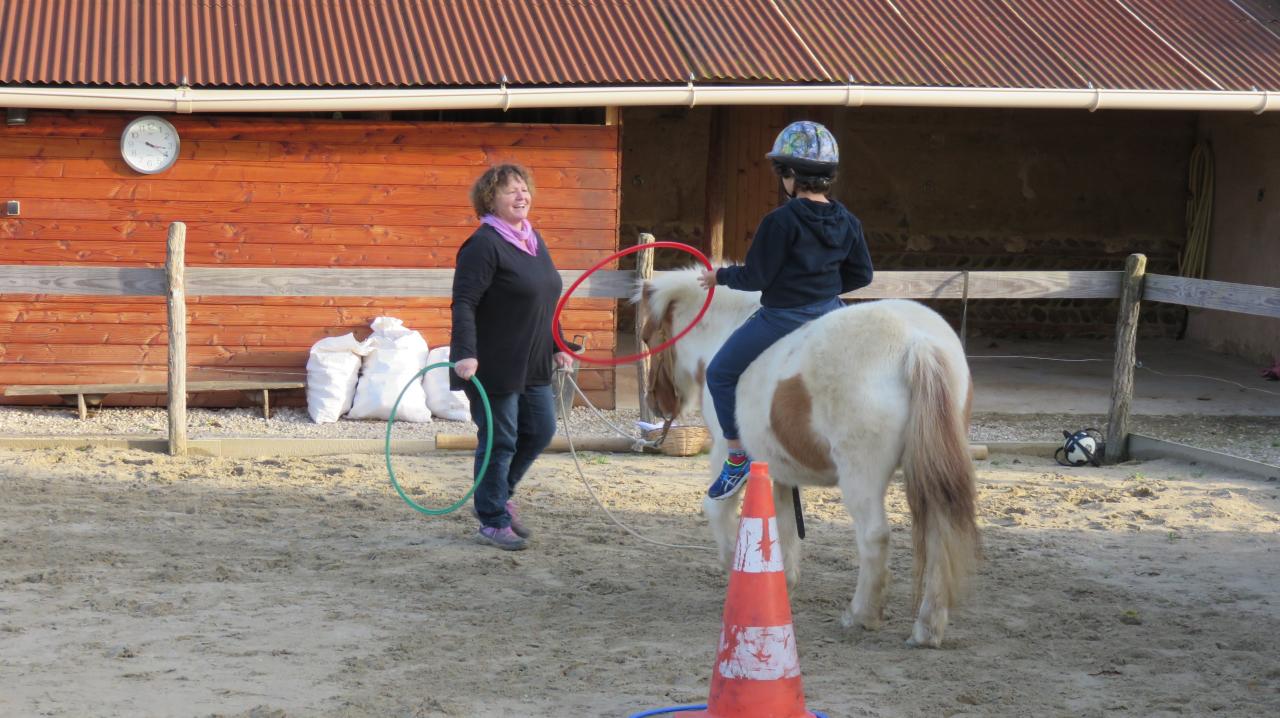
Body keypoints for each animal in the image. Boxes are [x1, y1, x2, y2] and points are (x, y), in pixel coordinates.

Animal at [640, 266, 977, 647]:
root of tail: (917, 342)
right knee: (939, 536)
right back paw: (927, 628)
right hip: (929, 471)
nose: (656, 402)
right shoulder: (779, 469)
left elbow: (717, 508)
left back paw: (861, 615)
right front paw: (781, 581)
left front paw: (733, 567)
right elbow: (782, 521)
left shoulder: (727, 452)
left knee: (875, 537)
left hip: (861, 476)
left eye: (649, 338)